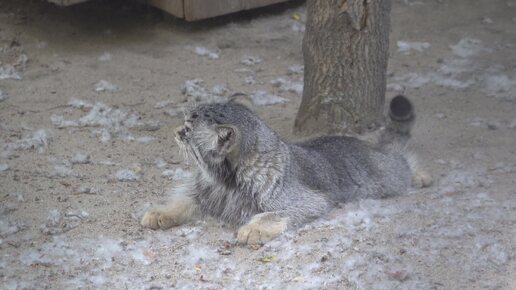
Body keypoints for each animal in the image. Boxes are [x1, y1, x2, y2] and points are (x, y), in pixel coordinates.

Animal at [142, 97, 432, 245]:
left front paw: (253, 229)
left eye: (188, 130)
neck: (225, 181)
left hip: (390, 177)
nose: (176, 131)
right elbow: (180, 202)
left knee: (402, 158)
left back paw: (420, 175)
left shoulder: (311, 200)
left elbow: (271, 214)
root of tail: (368, 146)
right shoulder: (202, 195)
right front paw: (161, 213)